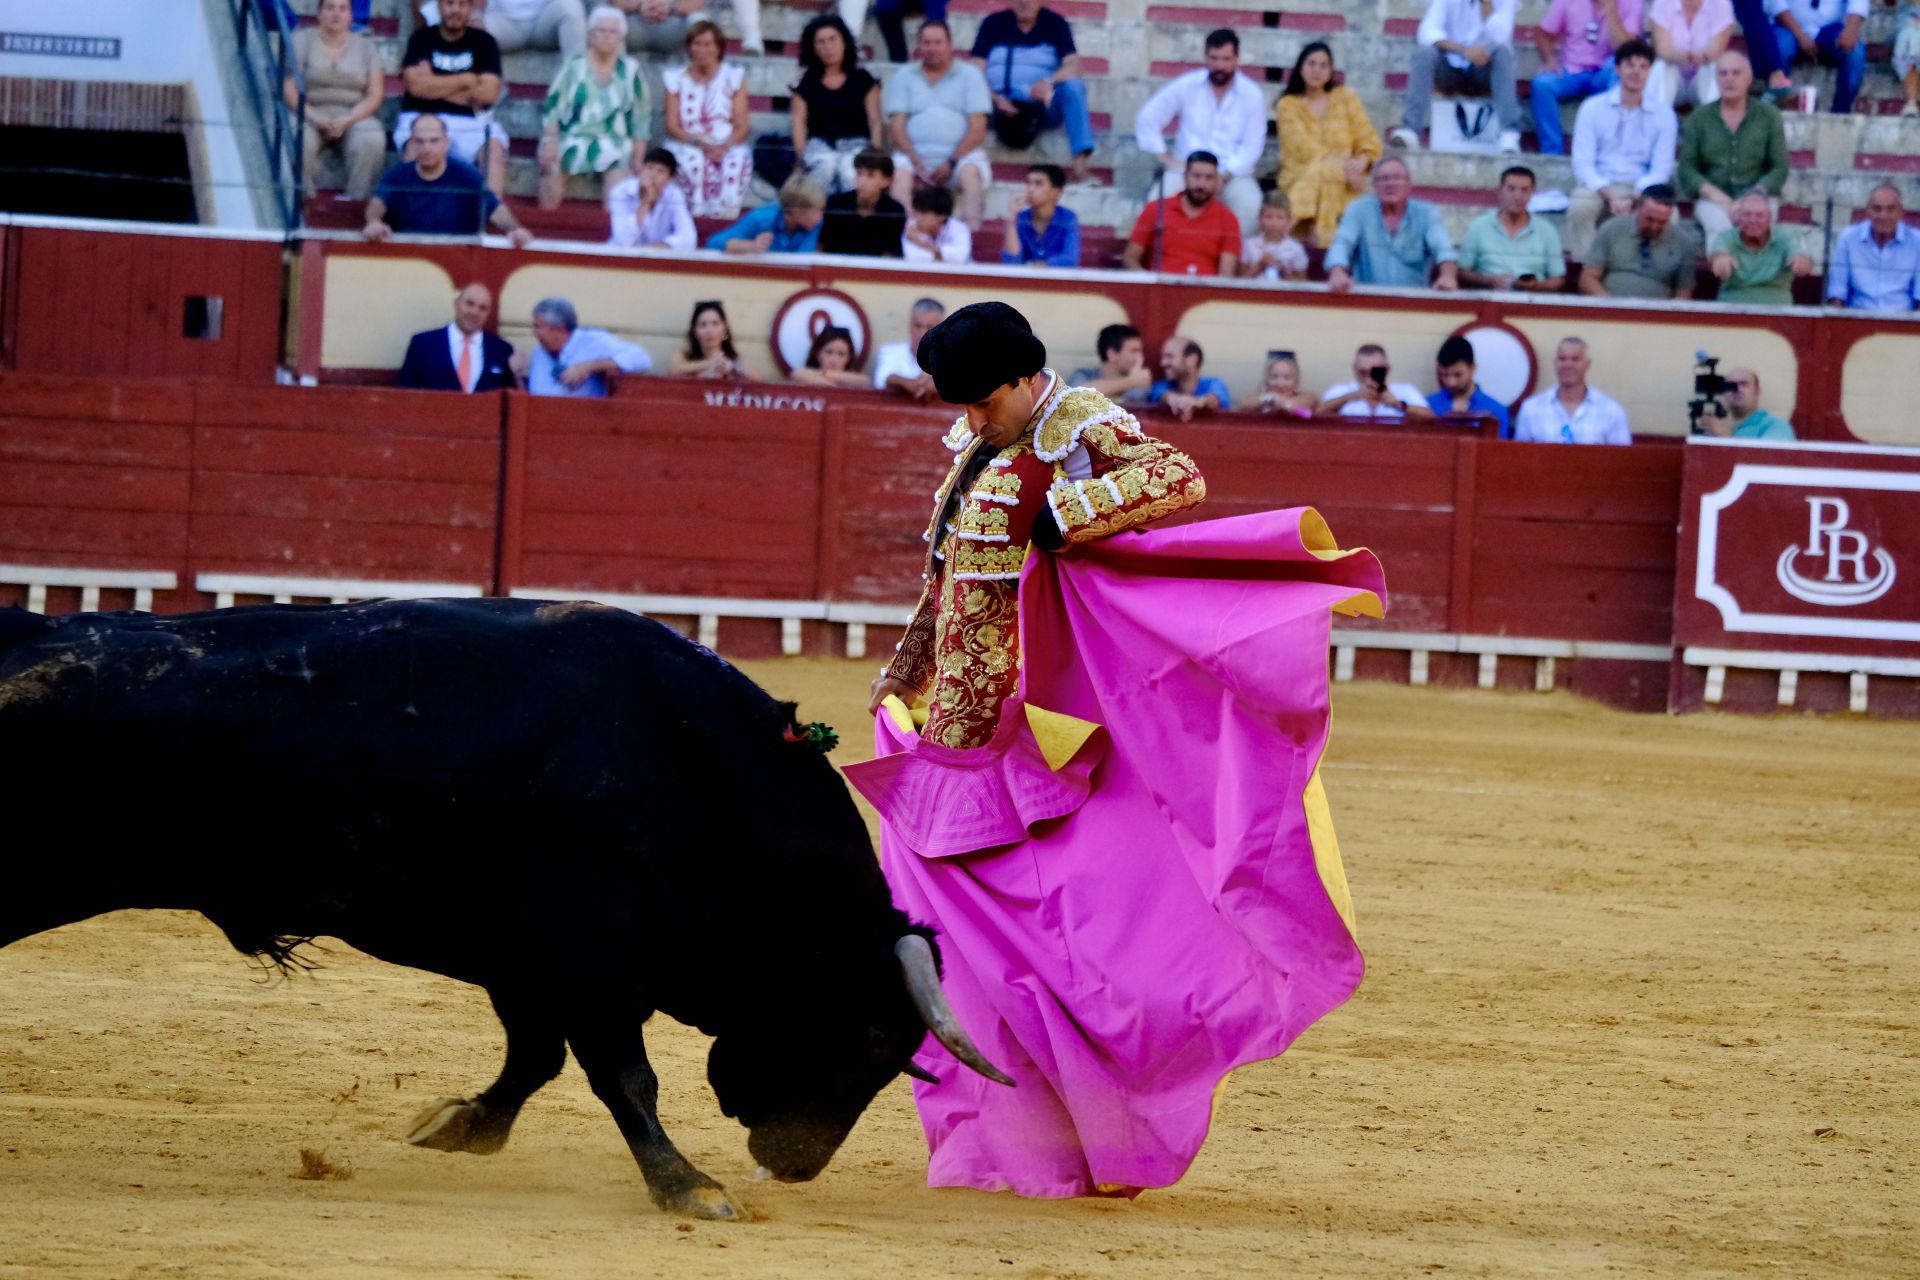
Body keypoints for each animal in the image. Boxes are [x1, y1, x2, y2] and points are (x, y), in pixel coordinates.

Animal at [0, 602, 1013, 1220]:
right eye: (875, 1038)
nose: (797, 1165)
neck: (691, 768)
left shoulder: (527, 962)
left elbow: (536, 1059)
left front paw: (459, 1125)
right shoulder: (591, 962)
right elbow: (623, 1076)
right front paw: (690, 1188)